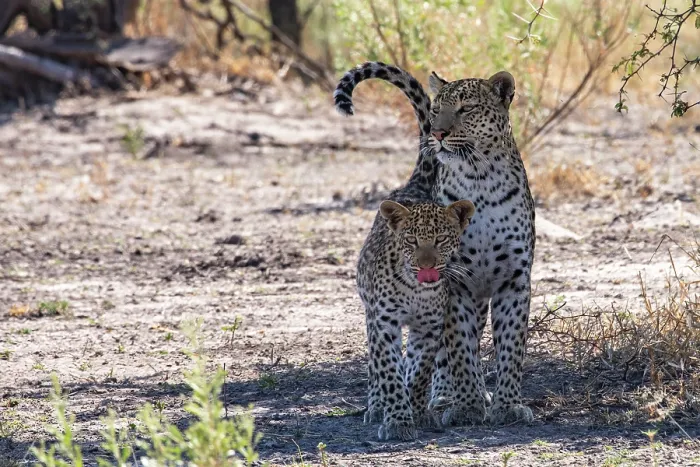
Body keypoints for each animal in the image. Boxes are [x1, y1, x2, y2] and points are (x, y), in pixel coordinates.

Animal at [358, 195, 475, 441]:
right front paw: (398, 421)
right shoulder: (384, 325)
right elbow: (389, 374)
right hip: (370, 316)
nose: (426, 266)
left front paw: (416, 411)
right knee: (374, 368)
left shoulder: (428, 328)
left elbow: (419, 372)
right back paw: (376, 407)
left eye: (441, 239)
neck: (415, 288)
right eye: (411, 240)